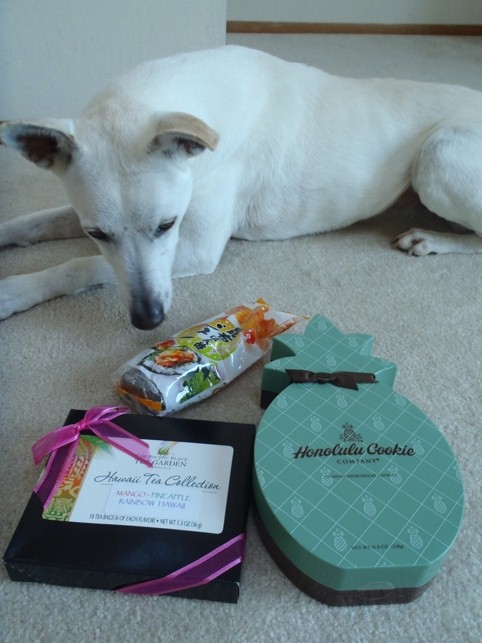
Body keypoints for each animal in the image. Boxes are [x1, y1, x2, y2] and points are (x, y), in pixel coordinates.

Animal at [1, 45, 482, 329]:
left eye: (167, 225)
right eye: (96, 233)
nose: (148, 319)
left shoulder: (193, 248)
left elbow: (78, 266)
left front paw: (14, 291)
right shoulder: (82, 215)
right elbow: (33, 223)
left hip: (437, 156)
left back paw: (431, 238)